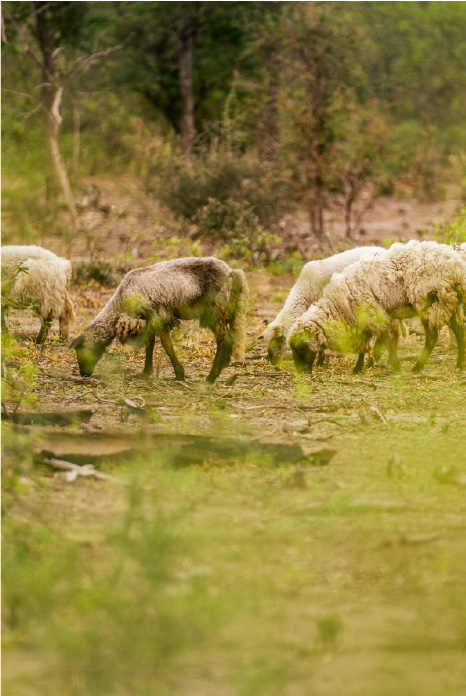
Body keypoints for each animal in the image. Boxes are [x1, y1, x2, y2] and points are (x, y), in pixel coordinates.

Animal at [70, 257, 248, 383]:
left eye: (80, 351)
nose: (84, 374)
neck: (119, 304)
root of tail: (231, 271)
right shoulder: (149, 320)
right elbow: (150, 346)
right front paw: (145, 373)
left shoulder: (159, 316)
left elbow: (167, 346)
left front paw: (179, 374)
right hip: (227, 310)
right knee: (229, 338)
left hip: (215, 310)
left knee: (223, 340)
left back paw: (211, 377)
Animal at [288, 240, 466, 374]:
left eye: (298, 347)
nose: (300, 372)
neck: (338, 308)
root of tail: (457, 266)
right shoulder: (363, 321)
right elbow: (365, 345)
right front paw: (358, 368)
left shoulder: (373, 315)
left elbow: (386, 341)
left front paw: (395, 366)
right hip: (450, 301)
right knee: (459, 330)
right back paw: (459, 365)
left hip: (430, 302)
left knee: (432, 337)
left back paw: (417, 367)